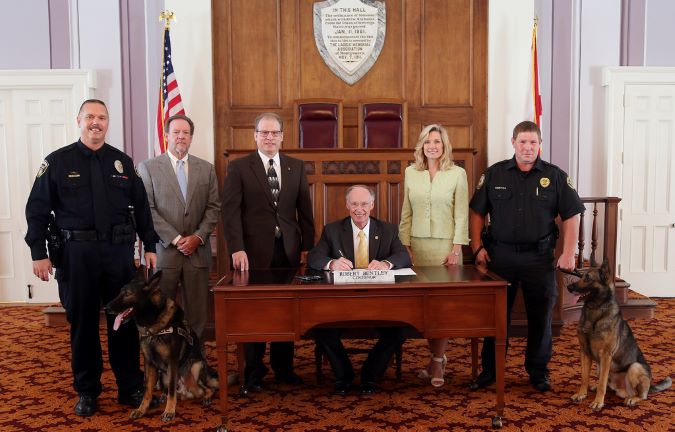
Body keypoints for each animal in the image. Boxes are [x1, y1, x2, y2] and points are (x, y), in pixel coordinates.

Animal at [104, 264, 219, 420]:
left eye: (127, 294)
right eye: (119, 292)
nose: (106, 308)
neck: (153, 325)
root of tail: (185, 392)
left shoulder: (172, 361)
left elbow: (171, 389)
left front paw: (169, 411)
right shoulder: (150, 363)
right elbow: (147, 389)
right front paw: (142, 409)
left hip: (194, 367)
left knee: (206, 388)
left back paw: (206, 397)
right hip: (163, 375)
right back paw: (163, 397)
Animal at [568, 258, 672, 410]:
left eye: (588, 278)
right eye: (581, 276)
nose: (568, 287)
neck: (594, 311)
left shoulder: (606, 355)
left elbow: (602, 383)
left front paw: (598, 402)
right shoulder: (585, 352)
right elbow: (584, 377)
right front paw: (582, 394)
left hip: (635, 367)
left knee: (642, 395)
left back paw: (632, 399)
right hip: (600, 367)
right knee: (607, 384)